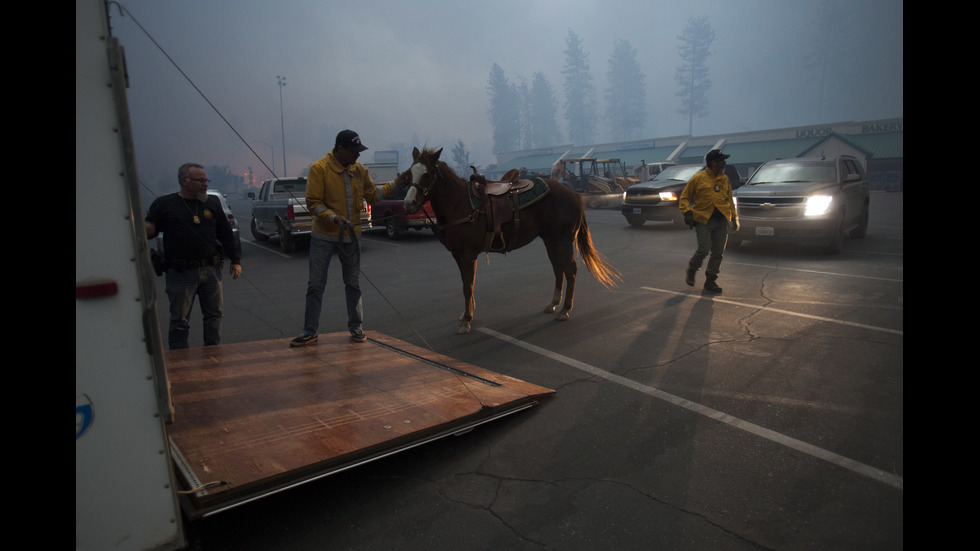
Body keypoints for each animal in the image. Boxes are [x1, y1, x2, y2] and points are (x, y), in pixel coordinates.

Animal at [400, 147, 616, 334]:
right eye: (409, 174)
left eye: (427, 174)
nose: (409, 204)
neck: (460, 204)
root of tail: (575, 195)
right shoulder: (458, 255)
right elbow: (467, 283)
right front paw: (467, 313)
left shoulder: (468, 255)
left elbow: (467, 286)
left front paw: (466, 321)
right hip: (551, 240)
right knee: (558, 268)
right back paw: (553, 304)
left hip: (562, 240)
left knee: (570, 270)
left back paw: (565, 310)